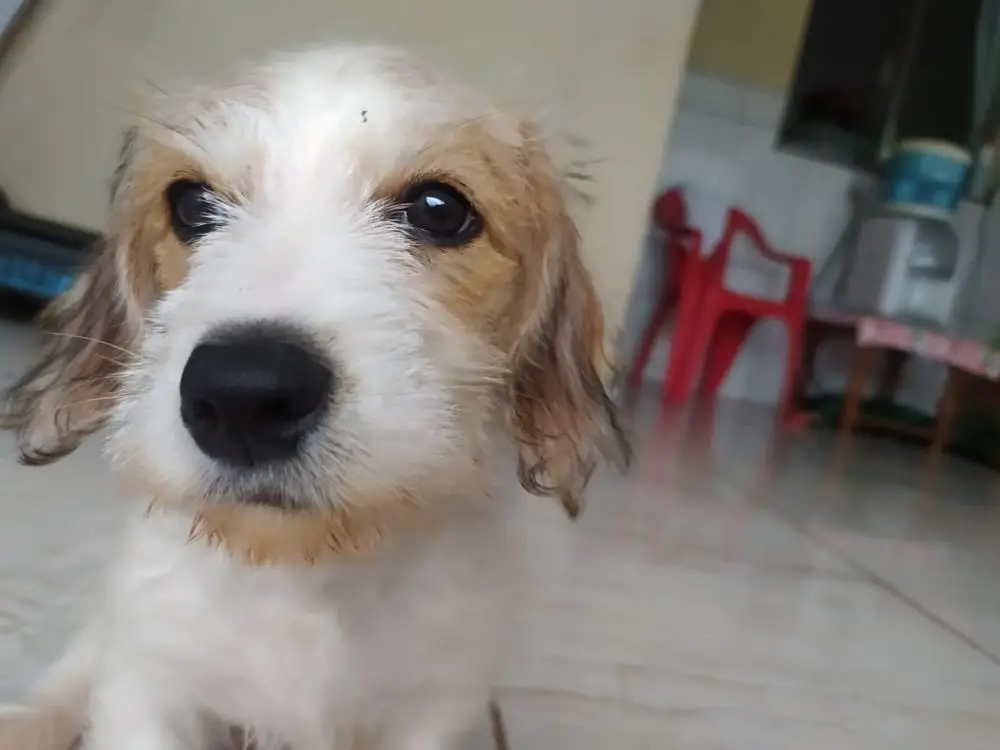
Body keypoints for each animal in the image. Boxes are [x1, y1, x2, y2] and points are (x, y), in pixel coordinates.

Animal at [0, 44, 628, 750]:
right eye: (190, 204)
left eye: (440, 209)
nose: (243, 395)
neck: (304, 569)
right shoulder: (151, 681)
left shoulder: (436, 708)